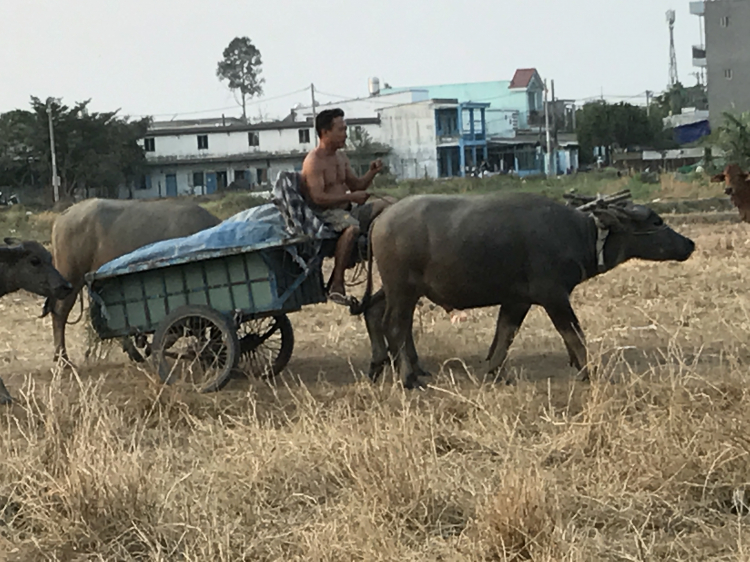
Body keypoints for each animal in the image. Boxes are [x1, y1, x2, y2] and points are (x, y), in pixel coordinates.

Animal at [356, 190, 696, 388]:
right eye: (655, 220)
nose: (689, 244)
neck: (578, 233)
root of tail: (381, 219)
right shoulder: (553, 296)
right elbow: (573, 333)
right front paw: (588, 370)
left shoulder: (517, 301)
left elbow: (504, 335)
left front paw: (494, 372)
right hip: (402, 288)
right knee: (395, 325)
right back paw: (407, 377)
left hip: (400, 289)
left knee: (376, 312)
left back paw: (386, 367)